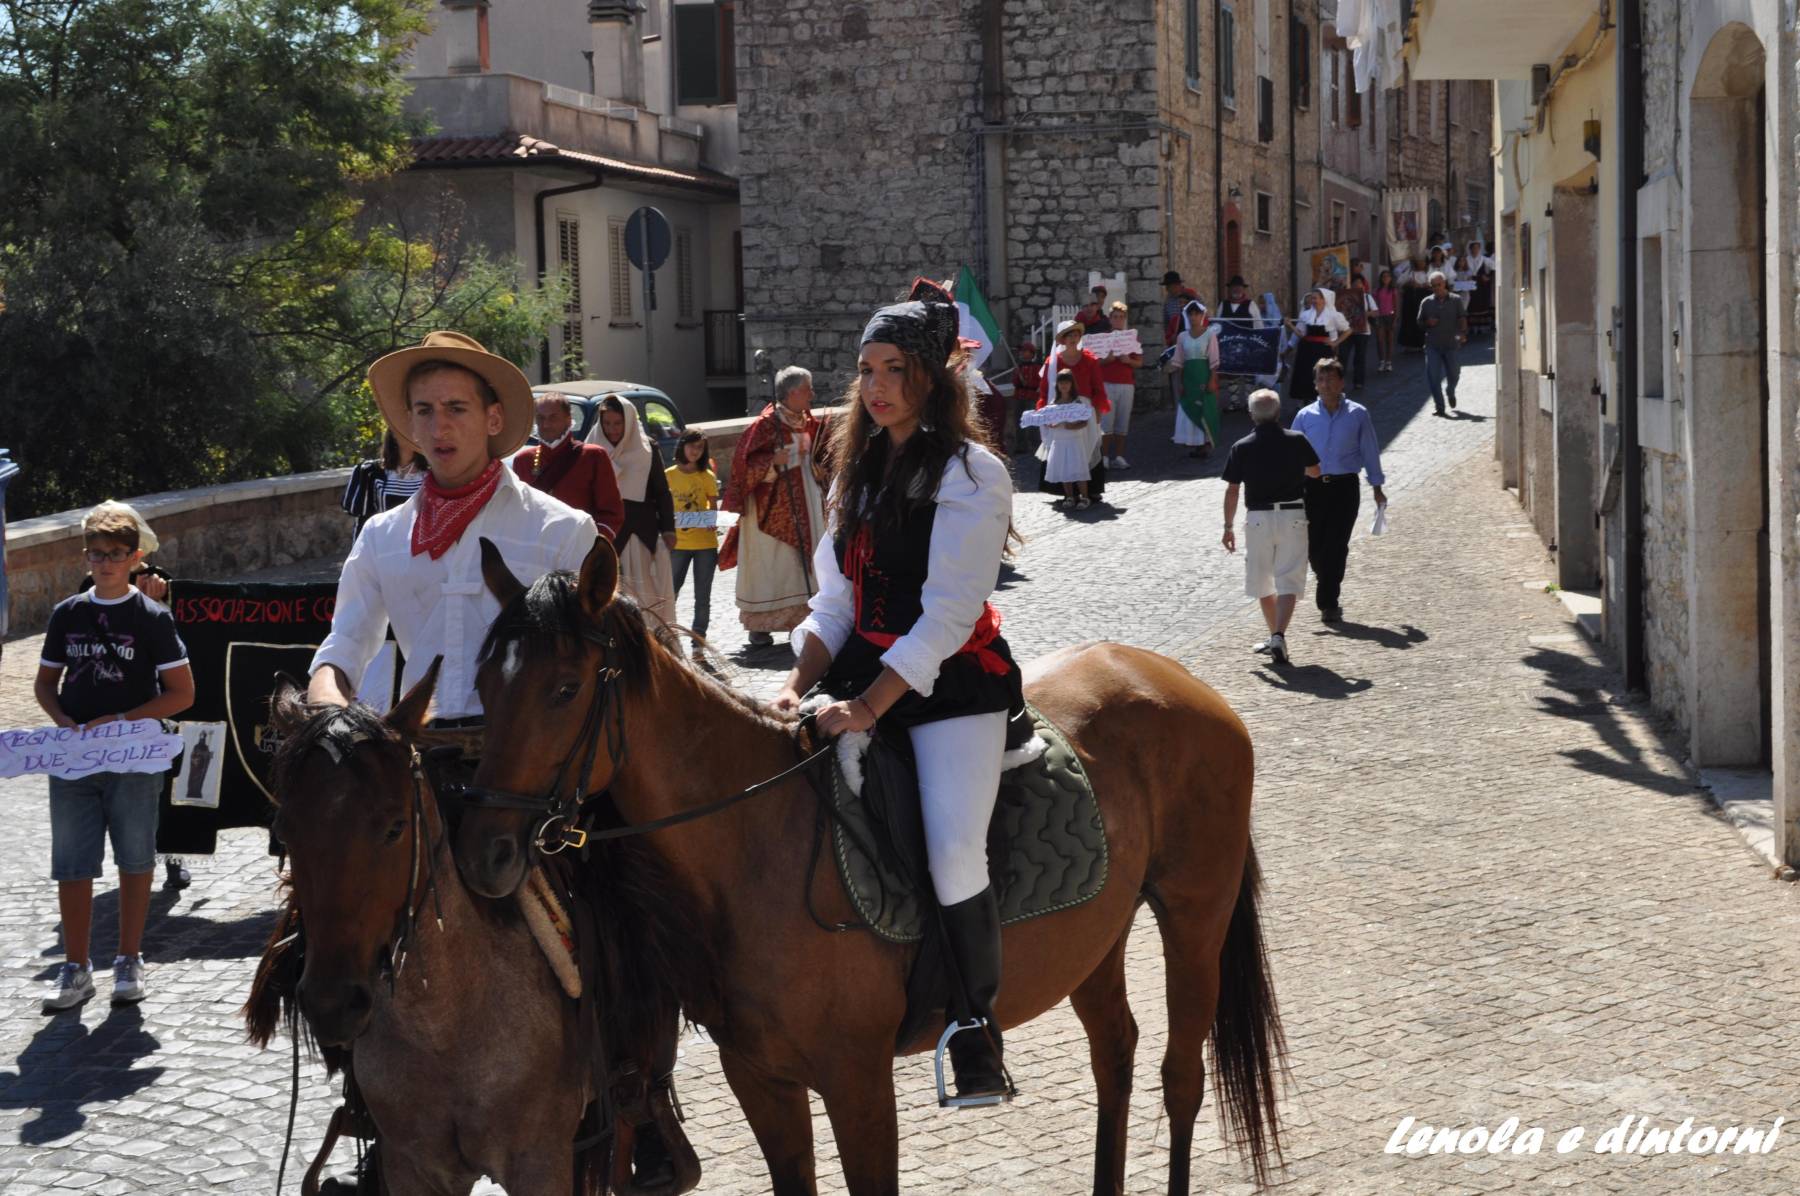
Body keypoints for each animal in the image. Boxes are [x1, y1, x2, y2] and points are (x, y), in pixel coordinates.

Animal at [246, 662, 601, 1196]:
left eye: (396, 828)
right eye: (284, 832)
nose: (332, 1004)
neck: (446, 1027)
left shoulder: (542, 1163)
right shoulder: (413, 1166)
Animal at [457, 540, 1288, 1196]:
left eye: (564, 689)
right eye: (485, 685)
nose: (483, 854)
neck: (757, 847)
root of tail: (1172, 678)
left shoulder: (856, 1081)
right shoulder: (760, 1079)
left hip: (1195, 917)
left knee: (1181, 1079)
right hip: (1095, 940)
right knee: (1115, 1054)